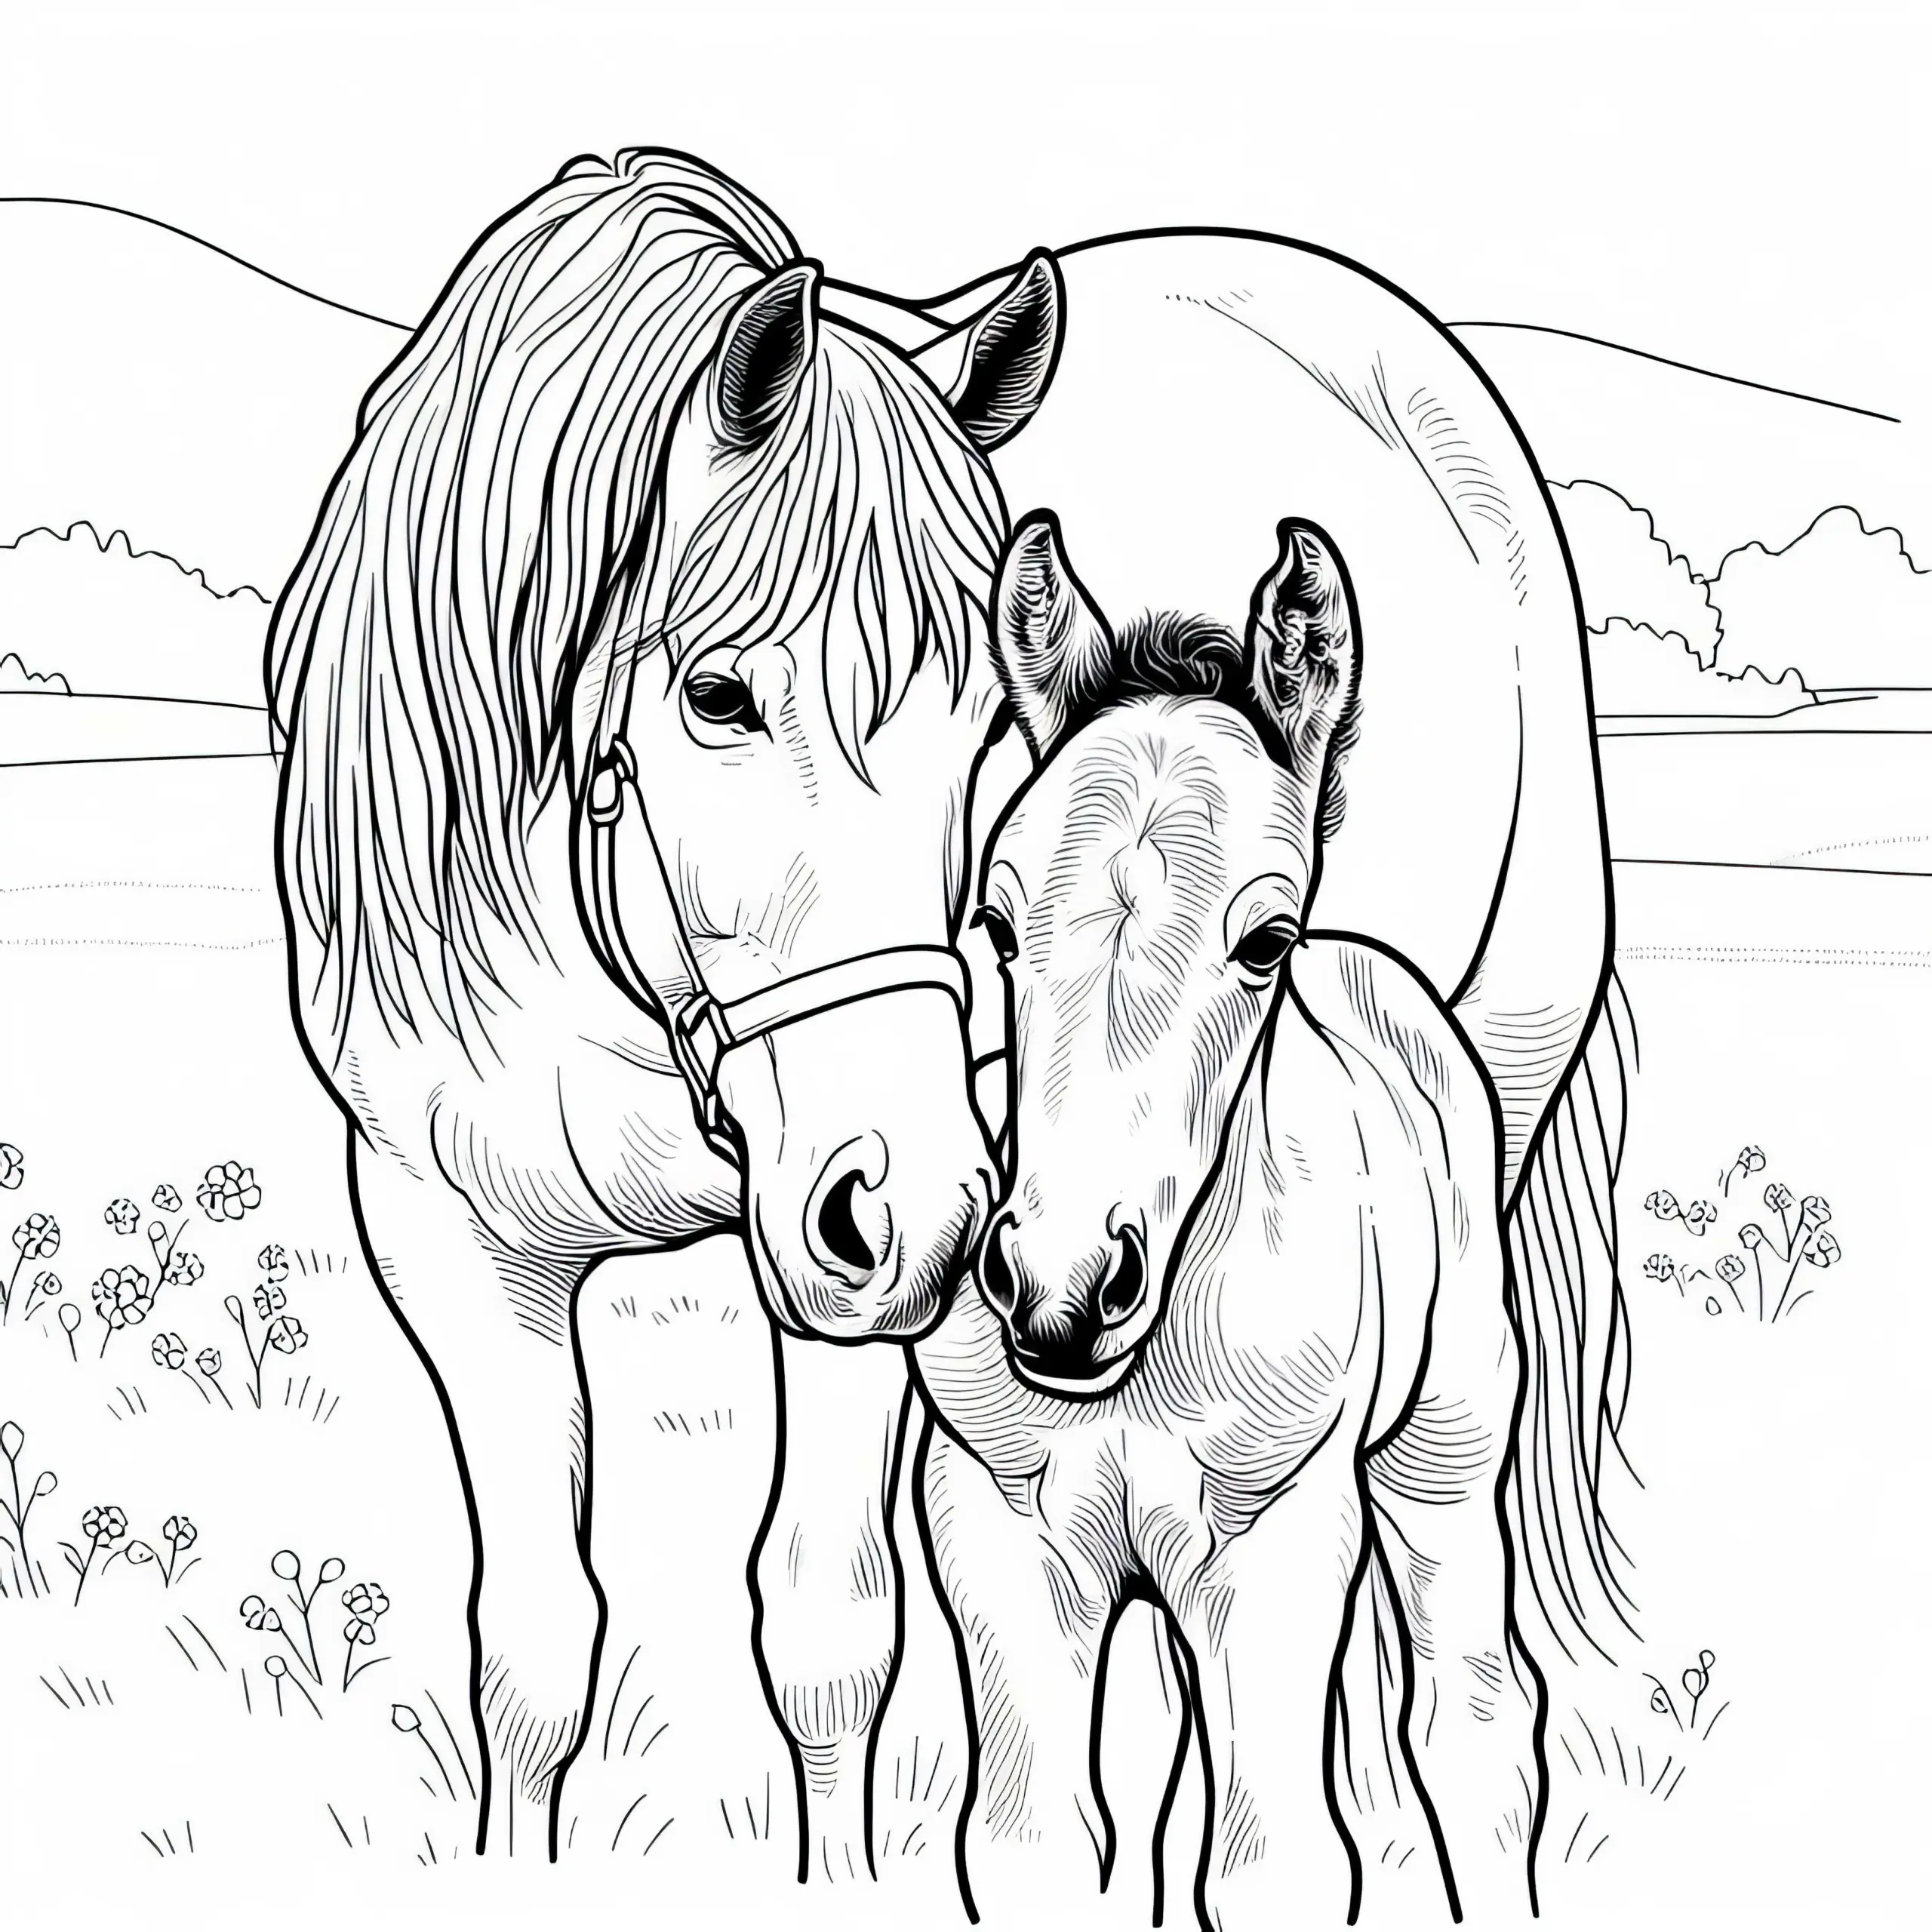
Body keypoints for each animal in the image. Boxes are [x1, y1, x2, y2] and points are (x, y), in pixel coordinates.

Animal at [266, 148, 1065, 1863]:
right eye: (718, 695)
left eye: (988, 712)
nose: (911, 1208)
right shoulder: (453, 1243)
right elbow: (533, 1655)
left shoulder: (854, 1277)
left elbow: (829, 1633)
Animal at [916, 514, 1540, 1930]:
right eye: (998, 923)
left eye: (1264, 940)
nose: (1057, 1290)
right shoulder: (1001, 1535)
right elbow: (1042, 1844)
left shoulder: (1274, 1543)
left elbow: (1276, 1862)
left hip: (1445, 1456)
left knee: (1476, 1726)